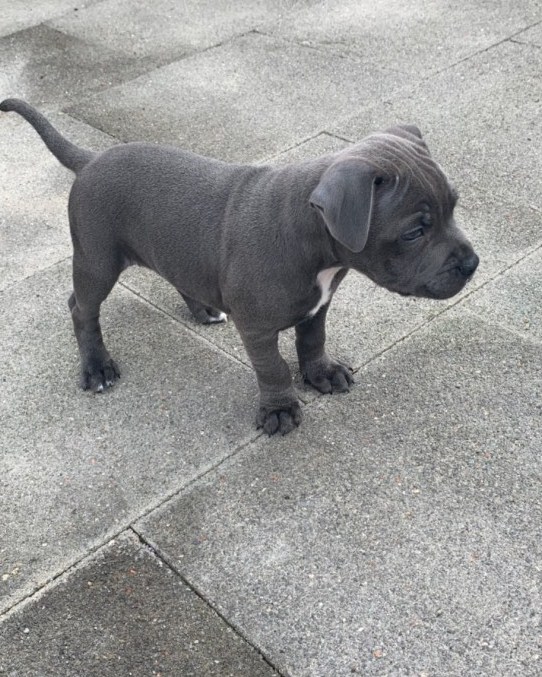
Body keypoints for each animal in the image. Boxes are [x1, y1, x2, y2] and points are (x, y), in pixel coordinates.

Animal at [1, 97, 480, 436]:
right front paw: (280, 409)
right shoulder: (257, 328)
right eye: (414, 232)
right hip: (97, 260)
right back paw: (97, 367)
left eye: (454, 207)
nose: (473, 263)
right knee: (81, 308)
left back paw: (202, 309)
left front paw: (321, 374)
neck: (310, 236)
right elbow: (273, 367)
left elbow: (312, 340)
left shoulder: (319, 305)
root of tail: (92, 159)